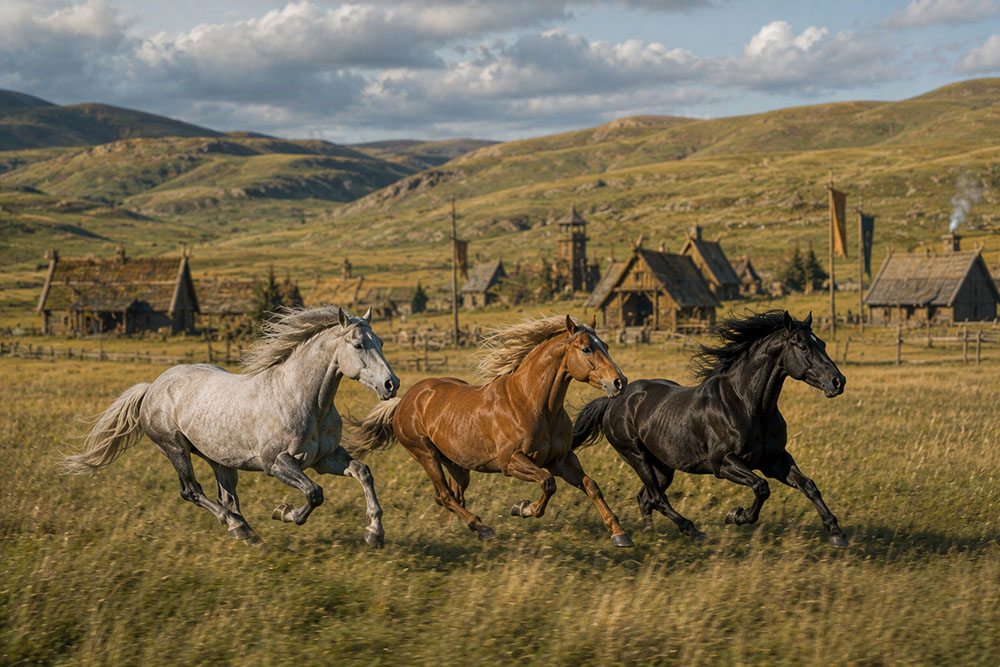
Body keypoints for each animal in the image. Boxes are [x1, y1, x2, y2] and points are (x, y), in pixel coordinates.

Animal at [62, 305, 400, 548]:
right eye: (358, 345)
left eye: (381, 342)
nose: (391, 384)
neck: (302, 398)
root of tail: (152, 387)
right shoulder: (277, 463)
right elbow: (314, 493)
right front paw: (285, 513)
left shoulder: (325, 459)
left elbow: (363, 472)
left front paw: (374, 532)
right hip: (175, 449)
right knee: (192, 492)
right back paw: (239, 529)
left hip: (219, 459)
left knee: (227, 496)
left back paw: (247, 531)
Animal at [348, 315, 635, 547]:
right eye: (586, 349)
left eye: (606, 346)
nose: (619, 382)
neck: (531, 402)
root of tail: (404, 400)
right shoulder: (512, 462)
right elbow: (547, 483)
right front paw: (522, 508)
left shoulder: (561, 459)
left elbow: (591, 486)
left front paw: (619, 534)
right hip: (425, 454)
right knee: (444, 495)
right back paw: (483, 528)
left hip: (458, 465)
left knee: (455, 495)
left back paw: (462, 529)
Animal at [572, 311, 850, 548]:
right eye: (803, 346)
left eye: (822, 343)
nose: (838, 382)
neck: (747, 404)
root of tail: (612, 401)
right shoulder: (724, 463)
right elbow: (761, 487)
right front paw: (735, 515)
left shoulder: (775, 460)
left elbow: (809, 486)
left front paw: (837, 534)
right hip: (636, 457)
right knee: (658, 498)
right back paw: (694, 532)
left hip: (663, 466)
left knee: (646, 497)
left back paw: (650, 534)